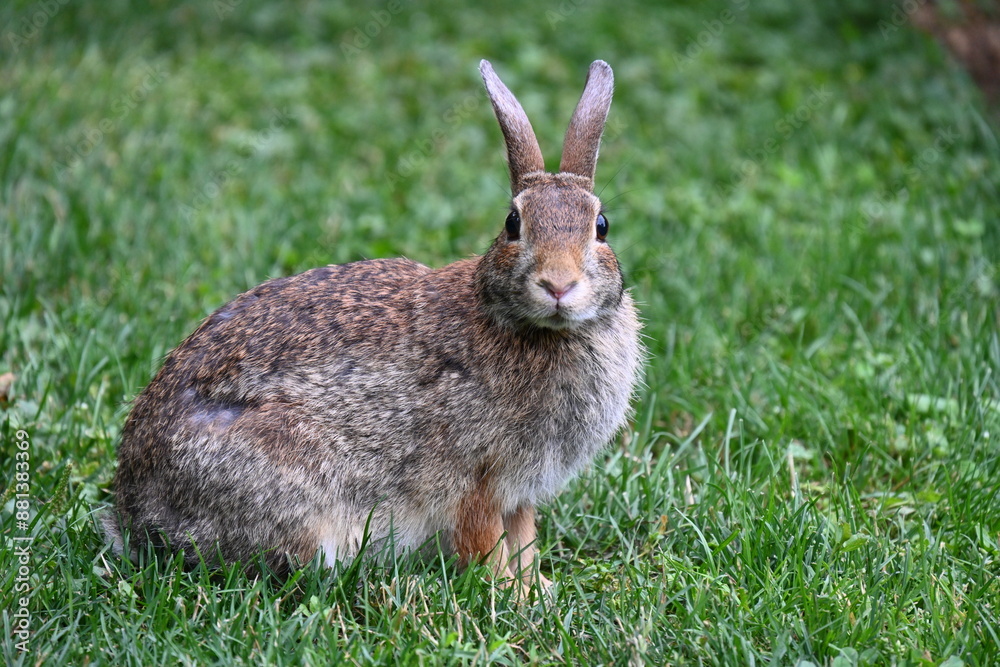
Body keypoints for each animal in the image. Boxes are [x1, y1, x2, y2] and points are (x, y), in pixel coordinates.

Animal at [105, 59, 643, 590]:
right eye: (513, 223)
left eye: (601, 227)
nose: (558, 284)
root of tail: (135, 513)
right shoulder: (477, 479)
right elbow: (485, 542)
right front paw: (510, 594)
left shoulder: (519, 492)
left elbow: (524, 537)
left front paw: (537, 589)